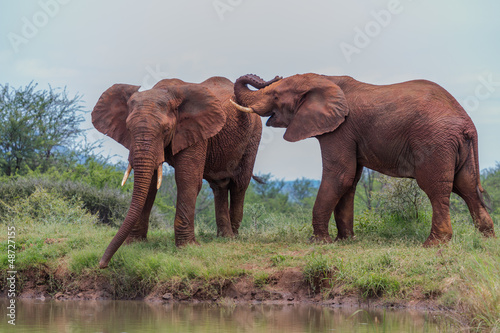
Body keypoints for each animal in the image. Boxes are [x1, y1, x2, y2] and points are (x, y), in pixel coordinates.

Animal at [94, 76, 264, 268]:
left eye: (166, 130)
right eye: (128, 129)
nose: (102, 264)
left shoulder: (196, 131)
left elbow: (187, 180)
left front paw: (187, 247)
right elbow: (150, 184)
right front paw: (135, 244)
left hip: (254, 135)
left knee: (239, 184)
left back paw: (233, 237)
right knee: (219, 185)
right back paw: (224, 238)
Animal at [231, 74, 496, 245]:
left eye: (275, 96)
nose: (274, 74)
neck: (322, 79)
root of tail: (467, 123)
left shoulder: (340, 129)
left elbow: (340, 175)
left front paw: (318, 242)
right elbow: (350, 180)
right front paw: (345, 240)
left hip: (435, 143)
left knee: (436, 188)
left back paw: (434, 244)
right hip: (458, 148)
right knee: (466, 186)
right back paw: (488, 240)